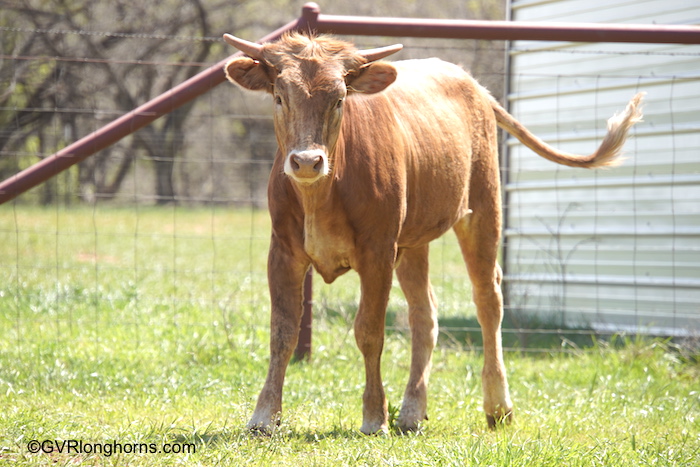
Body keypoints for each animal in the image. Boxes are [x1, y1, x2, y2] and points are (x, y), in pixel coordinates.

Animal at [224, 32, 644, 436]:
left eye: (339, 99)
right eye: (280, 97)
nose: (307, 162)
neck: (323, 192)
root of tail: (474, 86)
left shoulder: (378, 252)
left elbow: (369, 331)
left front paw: (374, 416)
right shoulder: (283, 251)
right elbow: (282, 331)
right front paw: (264, 417)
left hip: (482, 209)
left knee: (488, 300)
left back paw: (497, 406)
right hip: (414, 241)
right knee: (425, 314)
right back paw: (412, 411)